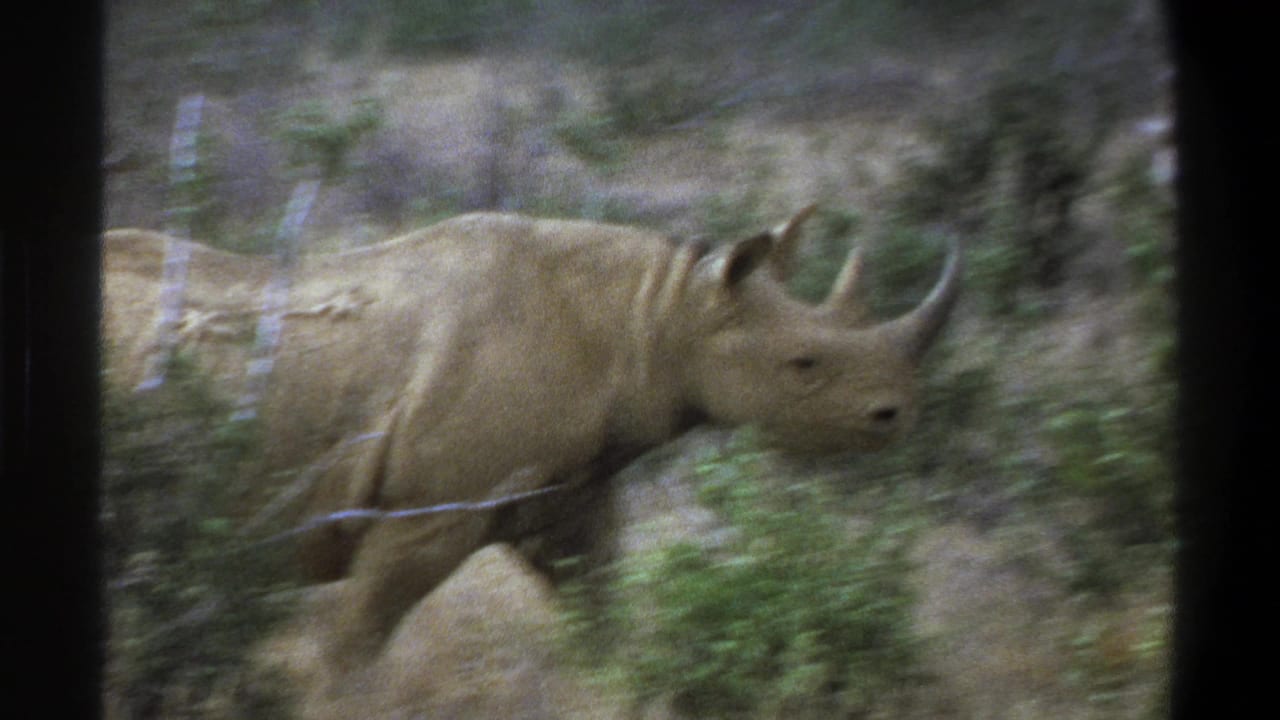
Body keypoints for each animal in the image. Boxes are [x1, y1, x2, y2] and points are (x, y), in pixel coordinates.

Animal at [102, 206, 961, 664]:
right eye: (803, 364)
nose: (897, 416)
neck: (658, 316)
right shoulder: (430, 512)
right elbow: (355, 645)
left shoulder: (575, 491)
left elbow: (602, 618)